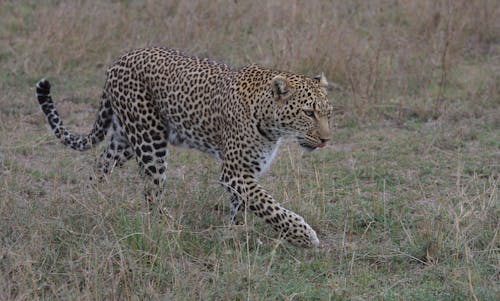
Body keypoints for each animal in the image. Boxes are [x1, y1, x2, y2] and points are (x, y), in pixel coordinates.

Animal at [35, 47, 332, 247]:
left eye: (328, 113)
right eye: (308, 113)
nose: (326, 140)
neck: (271, 123)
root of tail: (119, 60)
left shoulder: (246, 171)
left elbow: (244, 204)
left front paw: (235, 232)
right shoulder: (235, 172)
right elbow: (268, 204)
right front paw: (304, 235)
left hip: (125, 140)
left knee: (98, 168)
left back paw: (89, 205)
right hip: (149, 139)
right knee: (151, 192)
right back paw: (168, 227)